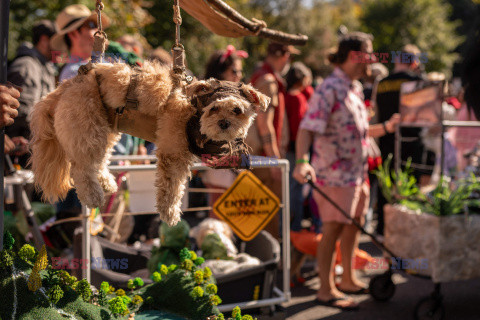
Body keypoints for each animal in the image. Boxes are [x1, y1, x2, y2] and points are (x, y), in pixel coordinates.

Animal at [30, 61, 270, 226]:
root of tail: (64, 86)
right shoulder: (172, 154)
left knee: (98, 162)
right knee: (81, 170)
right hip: (88, 129)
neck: (193, 111)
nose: (224, 123)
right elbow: (172, 189)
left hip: (105, 130)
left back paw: (107, 184)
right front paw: (170, 214)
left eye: (237, 110)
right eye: (214, 108)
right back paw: (94, 196)